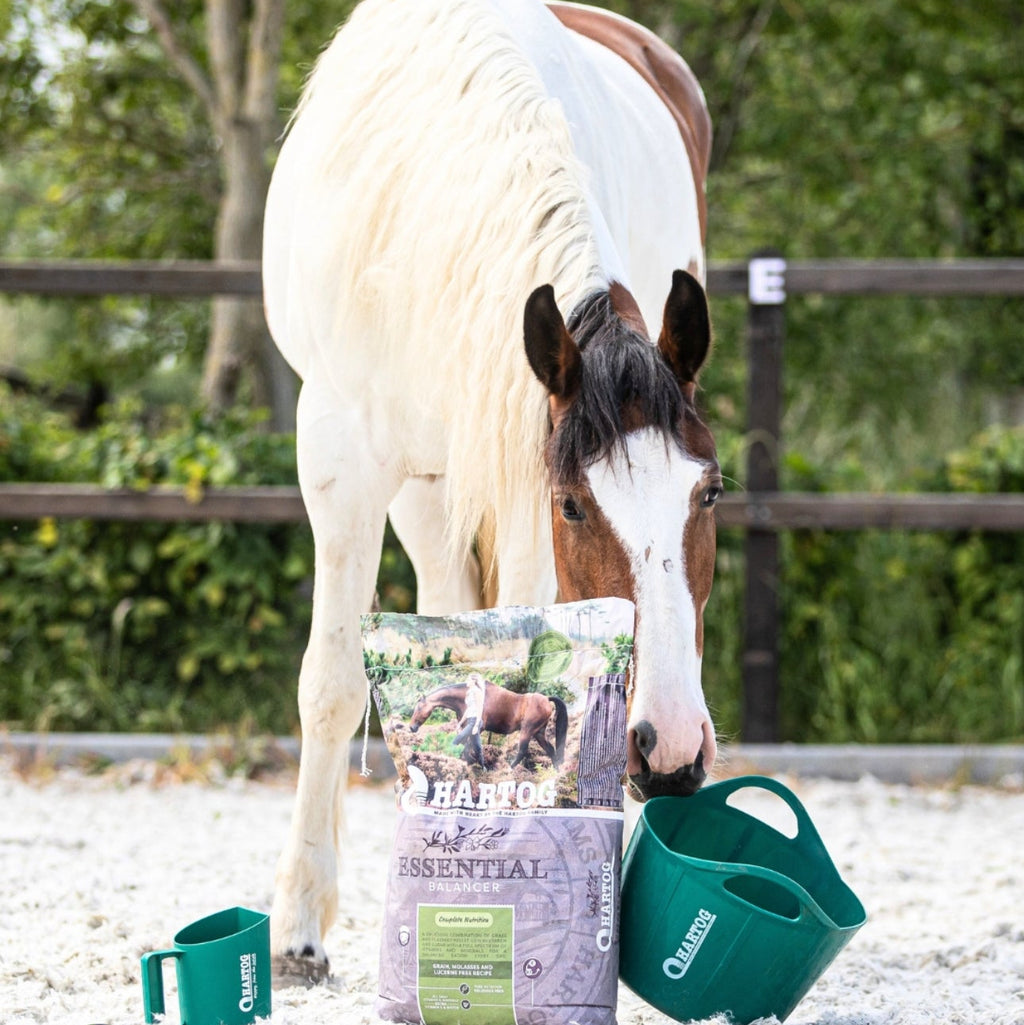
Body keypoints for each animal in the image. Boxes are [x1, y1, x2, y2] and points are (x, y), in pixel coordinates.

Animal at [408, 680, 569, 767]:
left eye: (418, 708)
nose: (411, 727)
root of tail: (546, 699)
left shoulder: (477, 728)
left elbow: (470, 747)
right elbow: (466, 745)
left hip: (527, 730)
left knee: (522, 751)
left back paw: (508, 770)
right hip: (538, 732)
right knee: (551, 750)